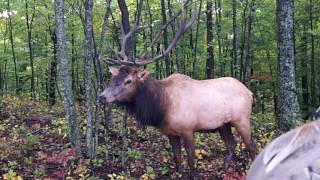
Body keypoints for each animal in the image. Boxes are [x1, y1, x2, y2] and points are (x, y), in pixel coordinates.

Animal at [99, 1, 256, 178]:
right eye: (113, 78)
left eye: (128, 81)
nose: (102, 96)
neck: (162, 107)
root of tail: (249, 92)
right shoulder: (170, 133)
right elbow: (177, 158)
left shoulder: (188, 129)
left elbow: (191, 160)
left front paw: (194, 175)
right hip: (223, 124)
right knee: (232, 143)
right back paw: (224, 170)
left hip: (242, 118)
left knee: (251, 145)